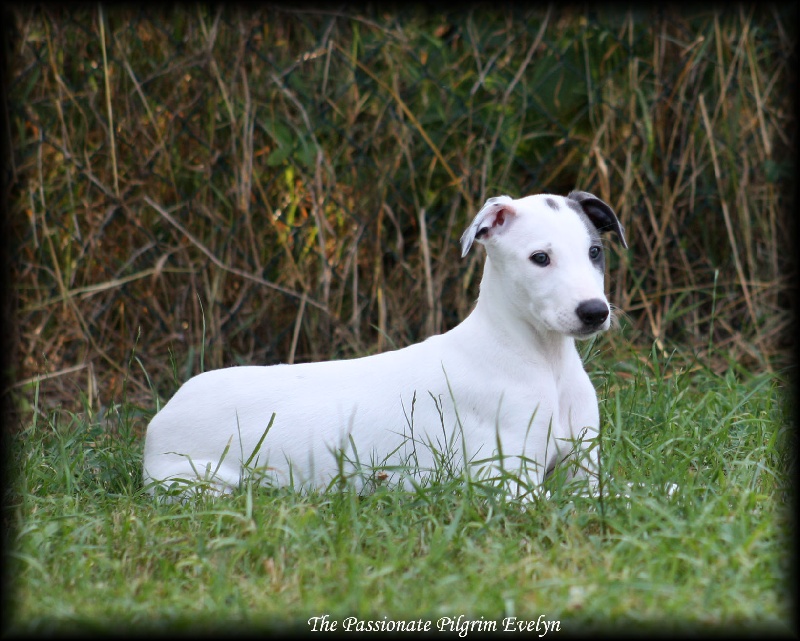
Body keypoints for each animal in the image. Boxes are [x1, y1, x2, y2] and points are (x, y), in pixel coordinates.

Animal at [147, 191, 628, 500]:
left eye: (595, 252)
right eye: (540, 258)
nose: (594, 312)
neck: (543, 361)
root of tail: (157, 422)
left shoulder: (587, 468)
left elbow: (634, 492)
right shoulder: (507, 482)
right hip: (199, 483)